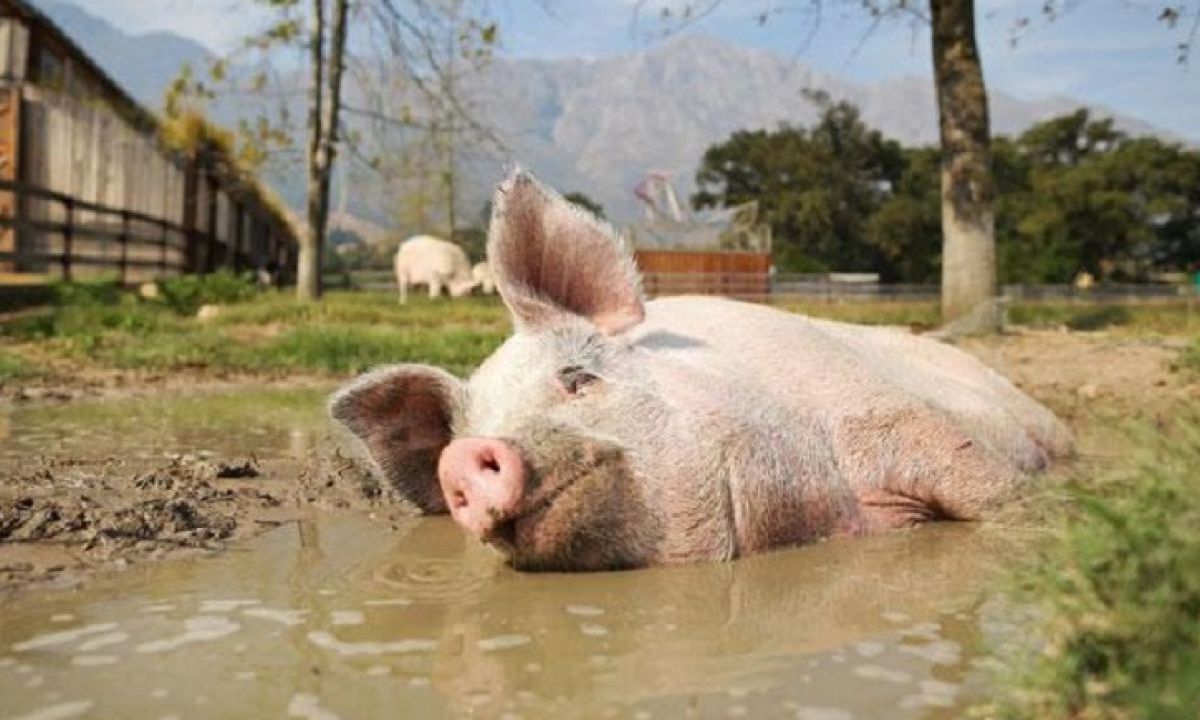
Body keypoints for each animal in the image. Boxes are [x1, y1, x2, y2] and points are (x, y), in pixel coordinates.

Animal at [331, 170, 1080, 573]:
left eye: (577, 377)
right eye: (469, 431)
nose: (464, 456)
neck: (794, 522)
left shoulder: (887, 413)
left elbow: (983, 486)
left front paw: (1044, 516)